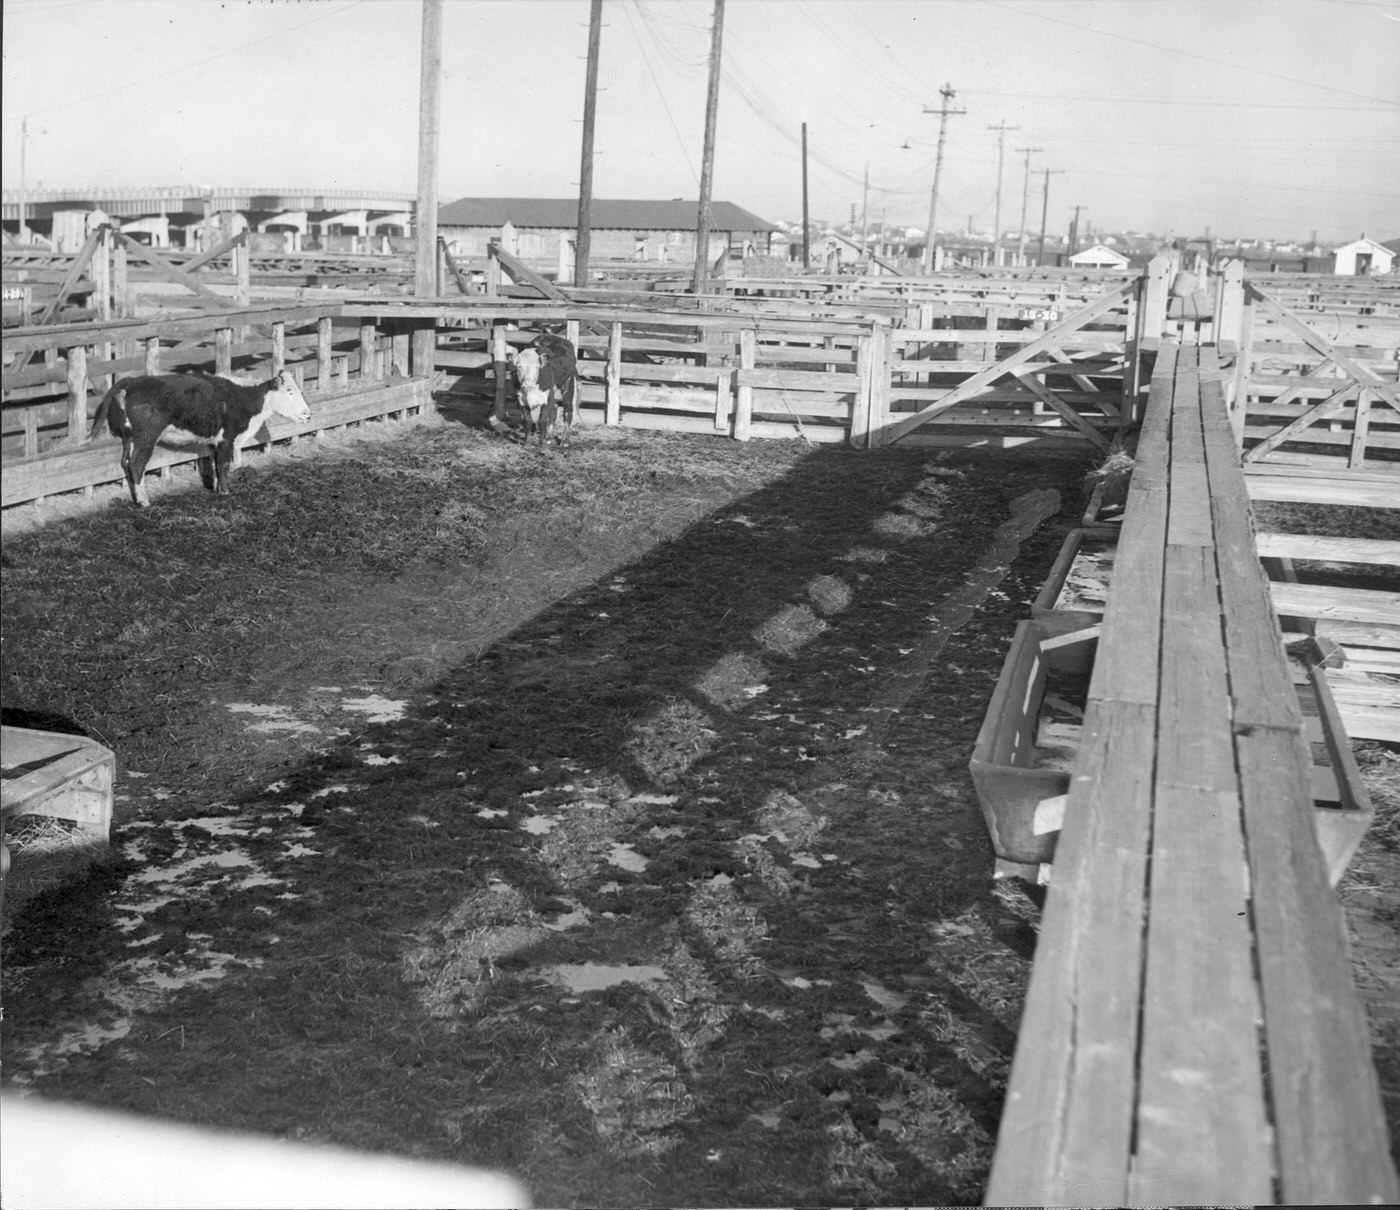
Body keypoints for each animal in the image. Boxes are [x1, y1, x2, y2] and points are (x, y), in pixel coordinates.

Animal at [92, 366, 312, 504]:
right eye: (290, 391)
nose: (308, 414)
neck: (243, 398)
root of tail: (132, 381)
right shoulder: (226, 439)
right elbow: (224, 466)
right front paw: (225, 492)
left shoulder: (215, 442)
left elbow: (215, 466)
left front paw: (215, 488)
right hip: (146, 436)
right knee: (137, 464)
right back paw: (144, 501)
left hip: (129, 436)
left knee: (126, 462)